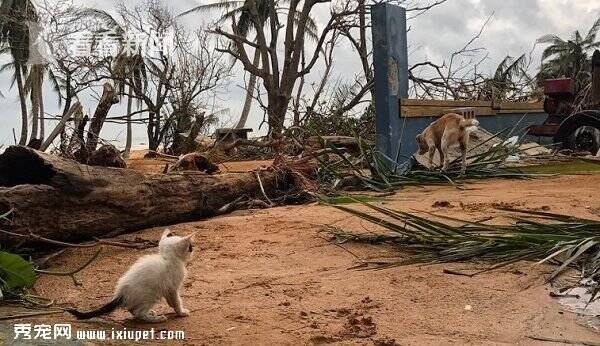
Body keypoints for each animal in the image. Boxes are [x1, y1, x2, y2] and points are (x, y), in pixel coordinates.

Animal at [67, 228, 195, 324]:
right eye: (189, 247)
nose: (193, 249)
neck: (168, 259)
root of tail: (120, 294)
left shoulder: (168, 288)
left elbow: (171, 300)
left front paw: (173, 307)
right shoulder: (172, 286)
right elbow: (177, 300)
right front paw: (181, 312)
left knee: (133, 310)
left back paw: (150, 313)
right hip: (152, 294)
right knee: (139, 312)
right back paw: (156, 319)